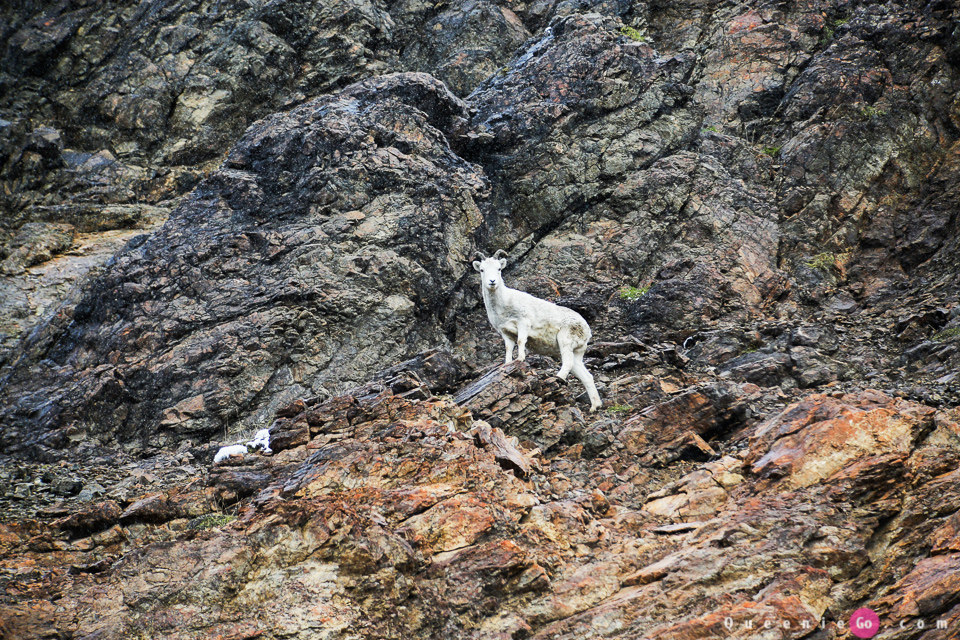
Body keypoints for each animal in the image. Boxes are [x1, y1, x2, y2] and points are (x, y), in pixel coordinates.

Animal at [472, 250, 600, 410]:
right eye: (482, 270)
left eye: (499, 269)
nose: (492, 282)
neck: (503, 305)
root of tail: (586, 329)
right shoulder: (505, 333)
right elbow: (508, 349)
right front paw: (508, 364)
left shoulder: (523, 324)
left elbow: (521, 341)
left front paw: (520, 359)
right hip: (577, 353)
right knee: (586, 376)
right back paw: (594, 407)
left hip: (565, 342)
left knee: (568, 363)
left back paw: (557, 378)